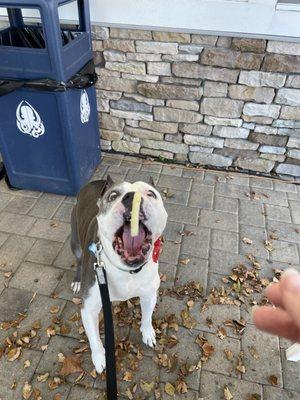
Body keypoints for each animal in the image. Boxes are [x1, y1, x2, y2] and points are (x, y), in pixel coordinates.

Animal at [70, 177, 169, 374]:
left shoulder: (149, 294)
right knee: (78, 259)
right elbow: (95, 340)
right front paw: (100, 359)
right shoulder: (89, 308)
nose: (131, 197)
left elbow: (147, 317)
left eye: (150, 193)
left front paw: (148, 333)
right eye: (113, 196)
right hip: (75, 241)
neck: (127, 270)